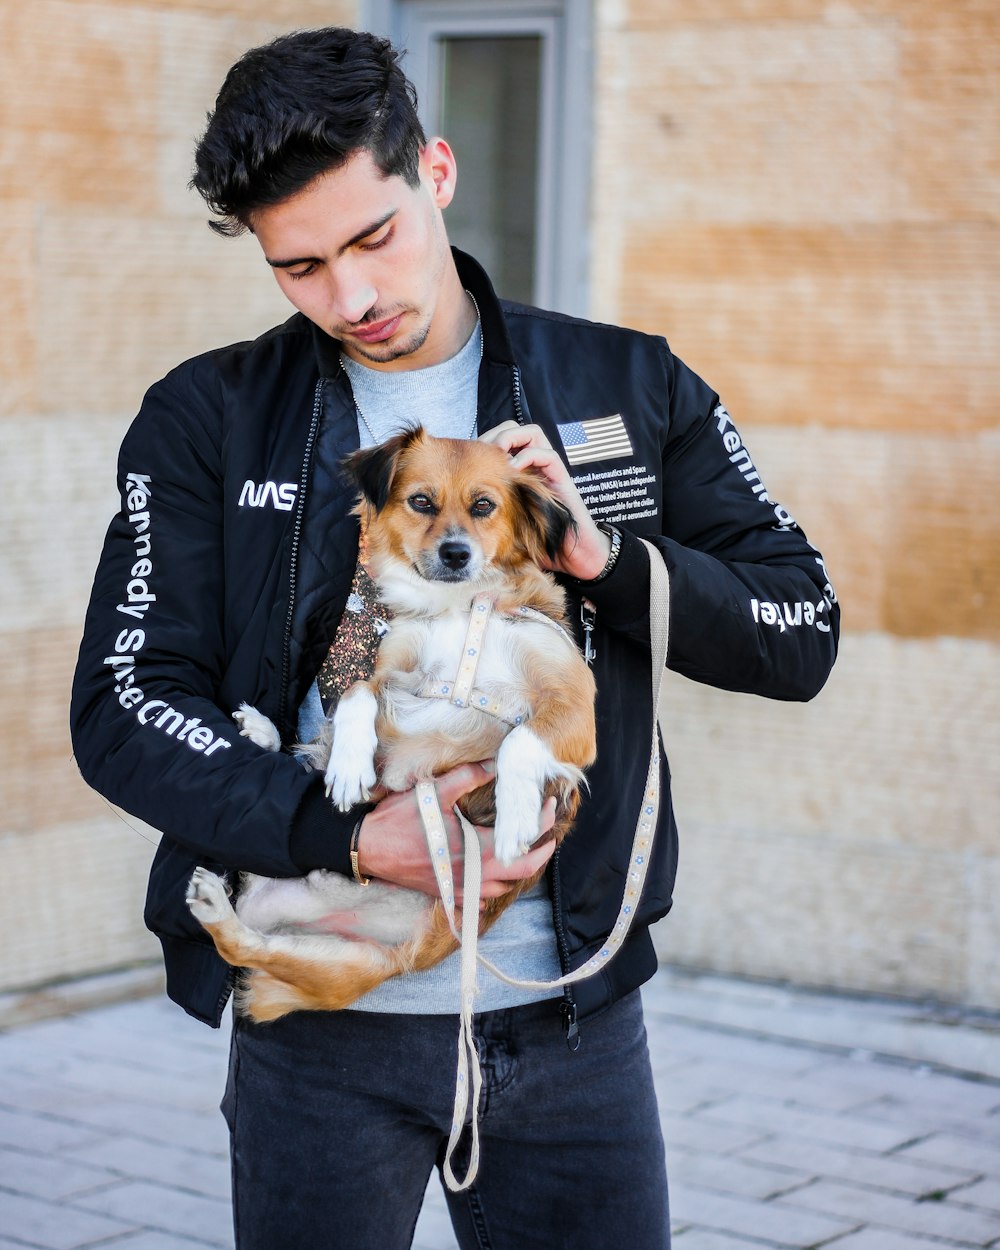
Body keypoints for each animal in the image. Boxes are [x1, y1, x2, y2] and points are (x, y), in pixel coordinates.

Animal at [185, 430, 597, 1025]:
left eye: (484, 506)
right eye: (421, 502)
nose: (455, 553)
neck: (459, 608)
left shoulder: (575, 705)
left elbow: (520, 740)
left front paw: (518, 817)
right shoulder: (390, 672)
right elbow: (357, 692)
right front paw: (350, 767)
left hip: (355, 964)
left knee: (249, 945)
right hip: (337, 964)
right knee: (242, 944)